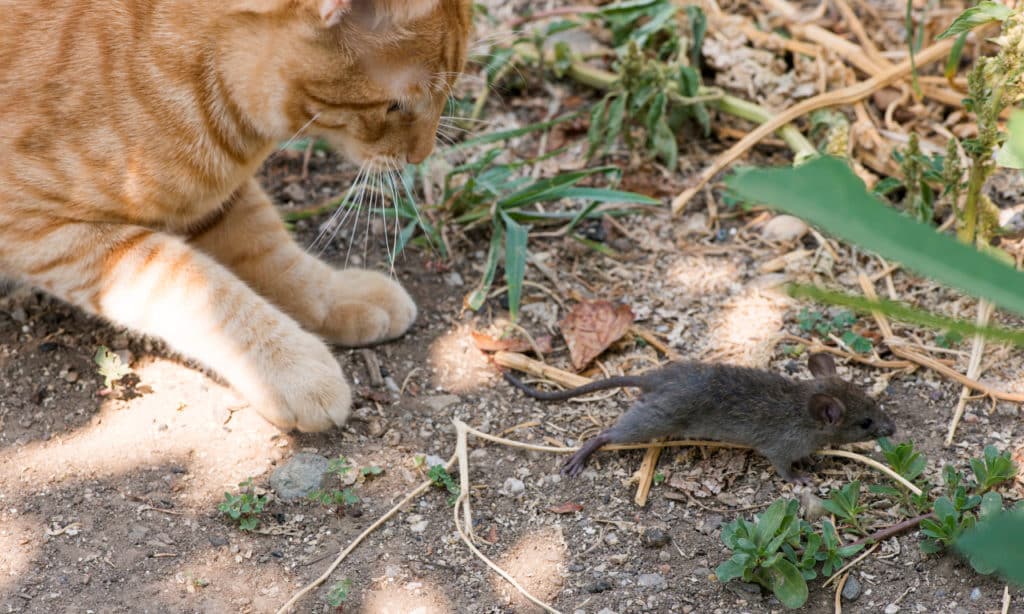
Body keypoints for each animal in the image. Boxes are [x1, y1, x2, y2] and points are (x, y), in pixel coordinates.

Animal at [0, 0, 471, 431]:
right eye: (396, 106)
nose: (423, 153)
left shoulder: (216, 200)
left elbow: (278, 258)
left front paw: (340, 297)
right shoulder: (41, 232)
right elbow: (201, 286)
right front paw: (293, 368)